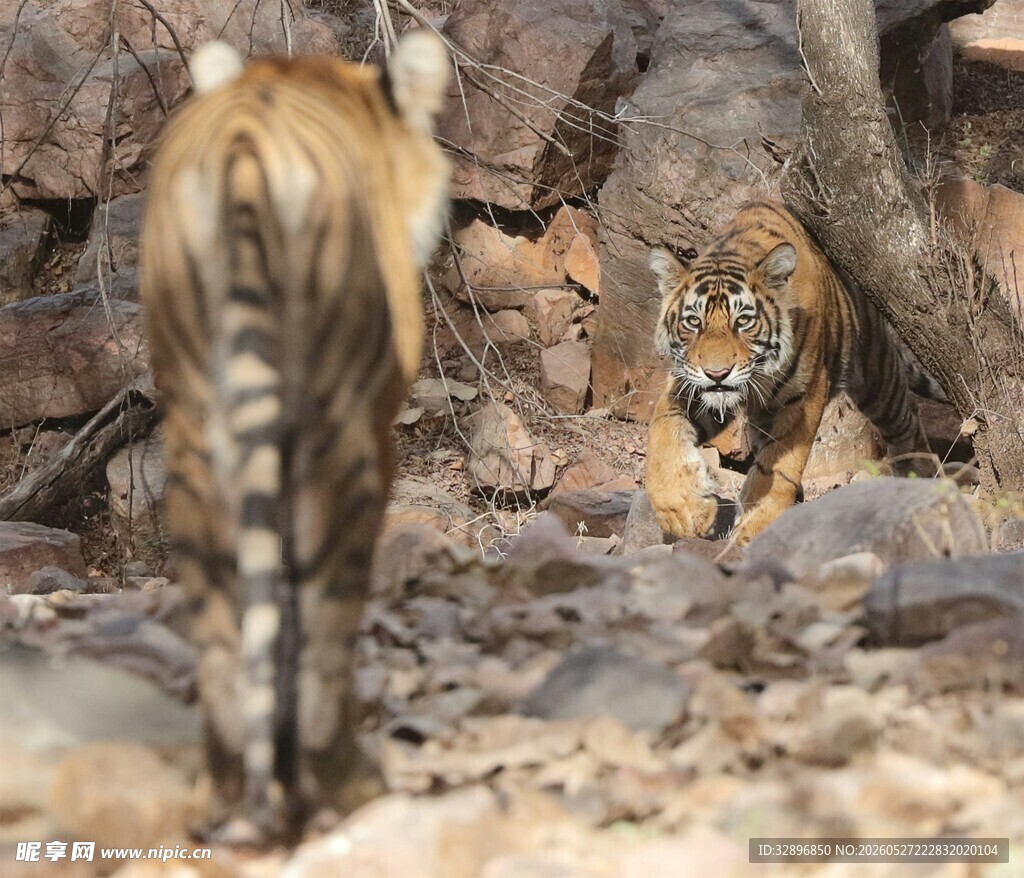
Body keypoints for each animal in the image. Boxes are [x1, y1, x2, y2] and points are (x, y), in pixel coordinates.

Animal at [138, 32, 450, 841]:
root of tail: (245, 143)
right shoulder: (375, 424)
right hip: (339, 436)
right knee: (326, 616)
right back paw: (339, 783)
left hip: (192, 428)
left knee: (222, 622)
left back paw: (226, 789)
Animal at [645, 200, 943, 546]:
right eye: (693, 322)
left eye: (743, 321)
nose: (717, 373)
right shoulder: (689, 384)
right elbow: (663, 429)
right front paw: (681, 510)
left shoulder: (805, 397)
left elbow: (780, 464)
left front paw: (757, 525)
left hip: (877, 373)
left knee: (906, 423)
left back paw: (920, 478)